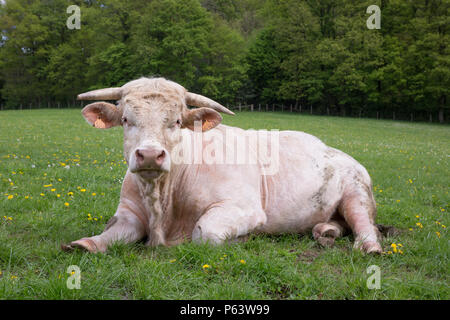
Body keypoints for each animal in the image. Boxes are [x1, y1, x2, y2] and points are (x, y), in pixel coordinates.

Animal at [60, 76, 384, 254]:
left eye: (176, 121)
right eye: (126, 119)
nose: (150, 155)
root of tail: (336, 151)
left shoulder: (243, 208)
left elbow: (205, 232)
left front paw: (241, 240)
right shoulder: (129, 212)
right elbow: (109, 234)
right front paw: (85, 243)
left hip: (356, 192)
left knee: (364, 224)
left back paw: (370, 247)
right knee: (340, 223)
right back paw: (326, 232)